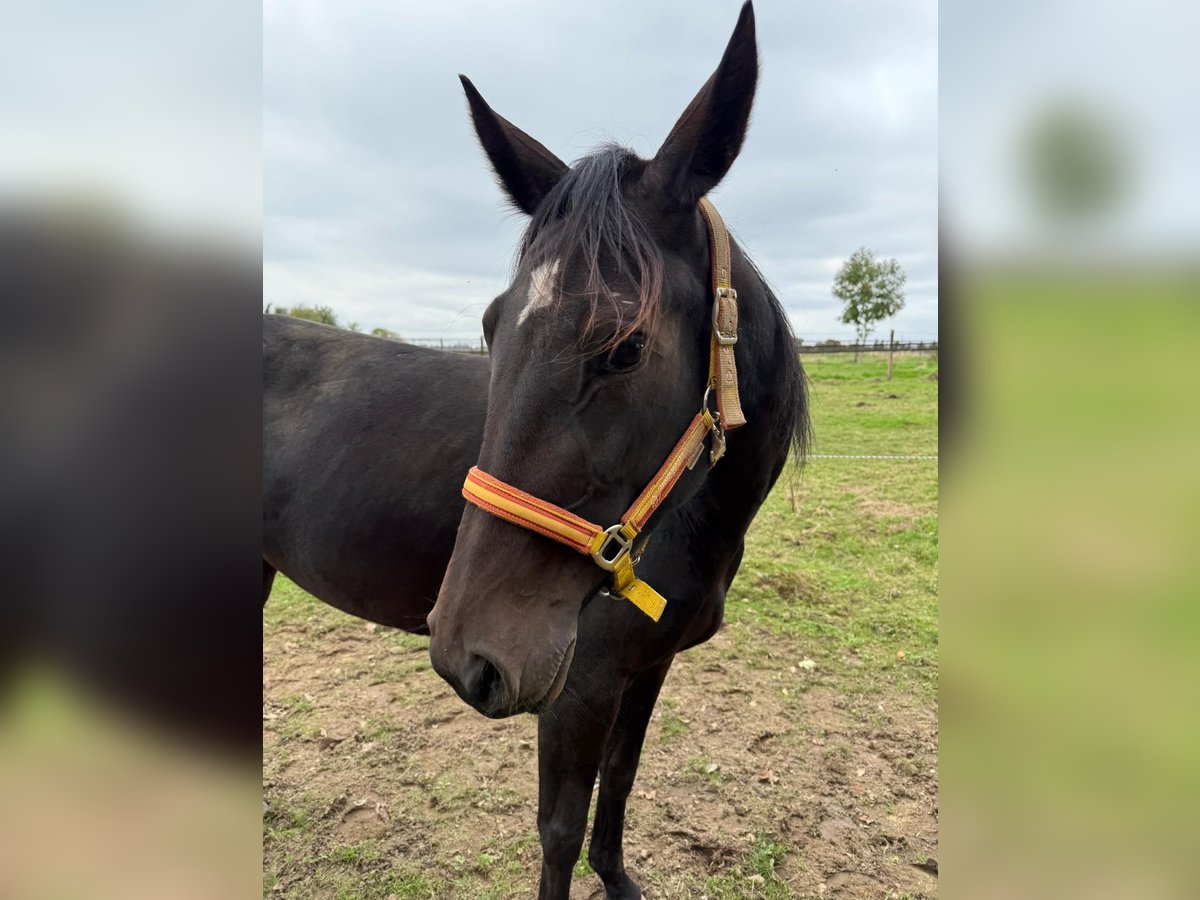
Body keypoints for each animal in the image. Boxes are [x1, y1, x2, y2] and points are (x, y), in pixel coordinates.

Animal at [263, 3, 808, 897]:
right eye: (490, 326)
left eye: (625, 347)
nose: (466, 654)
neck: (697, 524)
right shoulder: (579, 689)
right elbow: (558, 831)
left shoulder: (646, 671)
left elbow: (620, 784)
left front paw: (618, 878)